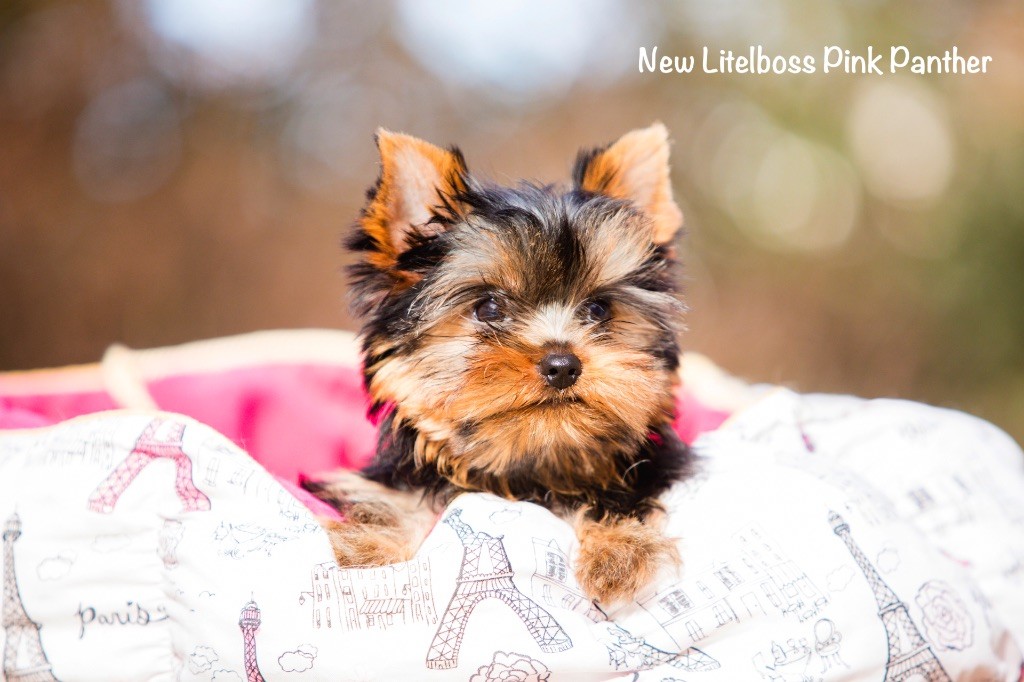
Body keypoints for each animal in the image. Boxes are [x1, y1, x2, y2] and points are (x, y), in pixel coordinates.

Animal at [311, 122, 692, 602]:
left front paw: (620, 552)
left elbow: (621, 501)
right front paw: (364, 548)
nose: (562, 364)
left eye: (599, 309)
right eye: (489, 308)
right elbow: (394, 507)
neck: (527, 471)